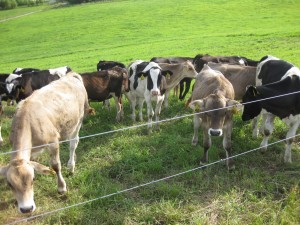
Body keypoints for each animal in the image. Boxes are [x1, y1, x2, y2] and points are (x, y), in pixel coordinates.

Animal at [0, 71, 91, 213]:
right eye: (10, 184)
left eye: (32, 179)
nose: (26, 209)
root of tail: (71, 74)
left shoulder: (53, 142)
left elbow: (55, 165)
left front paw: (61, 188)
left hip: (79, 119)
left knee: (73, 143)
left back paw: (71, 165)